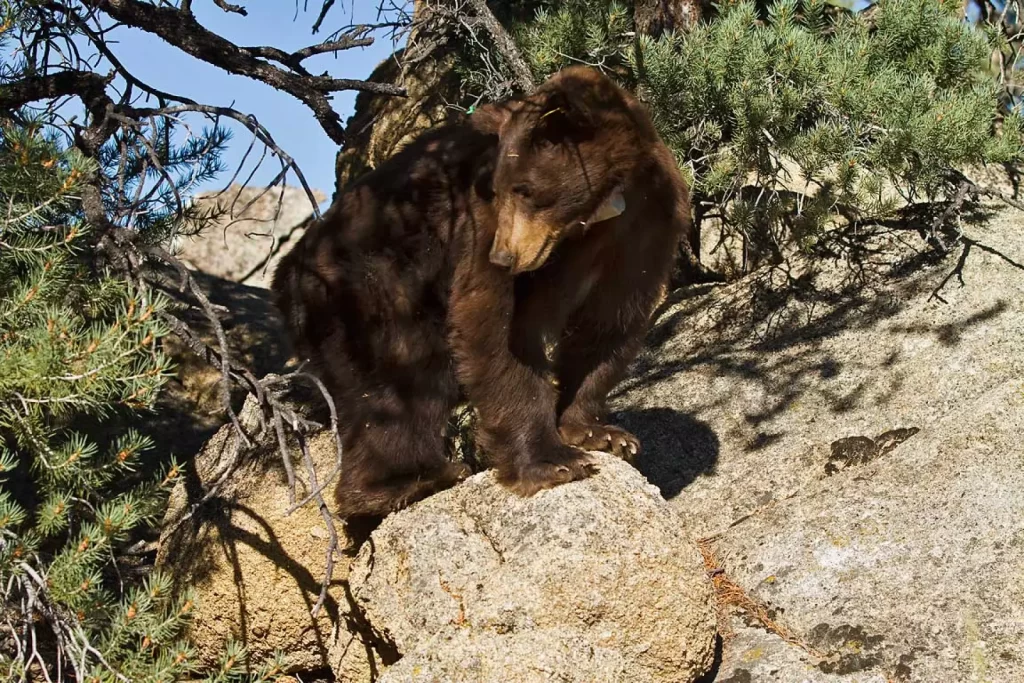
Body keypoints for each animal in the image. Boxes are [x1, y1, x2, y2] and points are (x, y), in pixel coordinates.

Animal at [272, 66, 692, 520]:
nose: (503, 256)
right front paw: (553, 461)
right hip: (369, 287)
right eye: (499, 189)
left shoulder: (648, 219)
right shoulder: (478, 224)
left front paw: (598, 432)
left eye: (525, 189)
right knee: (403, 380)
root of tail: (285, 279)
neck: (592, 217)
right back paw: (407, 481)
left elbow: (610, 322)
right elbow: (496, 328)